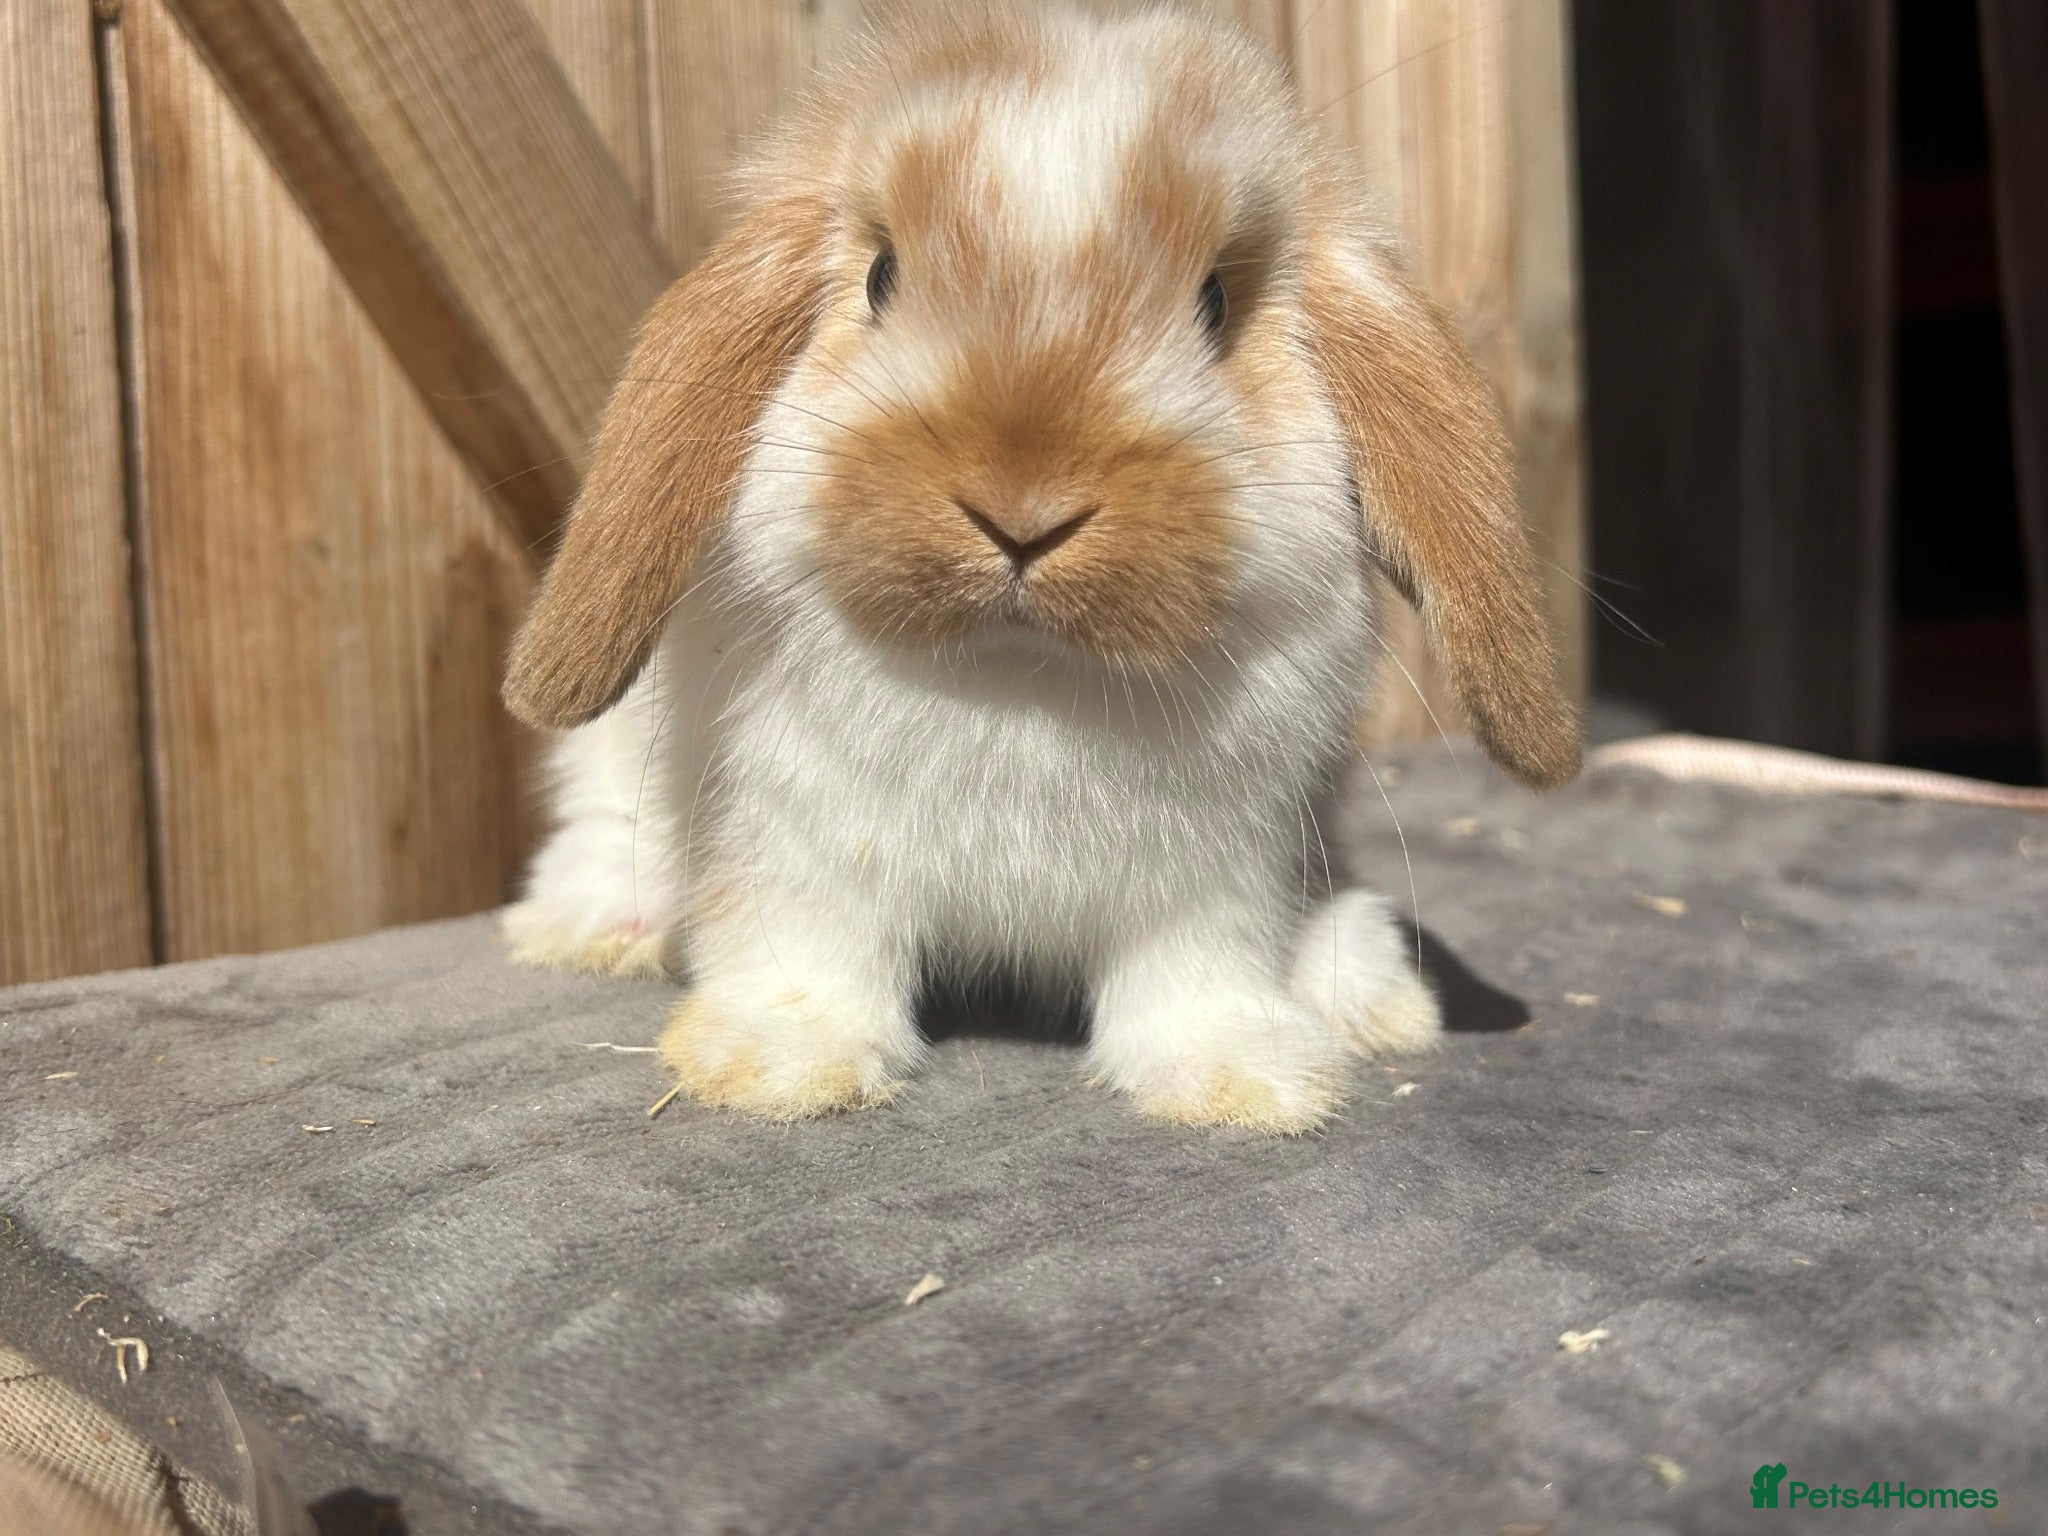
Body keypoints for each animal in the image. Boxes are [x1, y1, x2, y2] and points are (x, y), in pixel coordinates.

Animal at [498, 2, 1578, 1132]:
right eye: (880, 277)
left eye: (1214, 303)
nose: (1021, 514)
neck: (1019, 679)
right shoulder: (792, 849)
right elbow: (807, 952)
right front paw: (775, 1066)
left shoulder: (1213, 881)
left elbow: (1194, 977)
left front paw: (1240, 1081)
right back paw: (595, 926)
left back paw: (1363, 983)